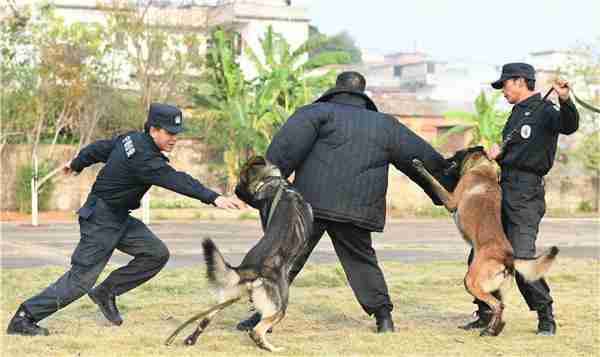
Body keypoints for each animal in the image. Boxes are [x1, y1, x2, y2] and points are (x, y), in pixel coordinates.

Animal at [166, 156, 312, 350]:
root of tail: (248, 270)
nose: (235, 191)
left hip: (228, 295)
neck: (273, 184)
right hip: (281, 304)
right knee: (257, 332)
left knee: (206, 318)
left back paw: (191, 338)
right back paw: (272, 348)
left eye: (240, 184)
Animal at [412, 146, 556, 336]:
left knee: (497, 305)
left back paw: (489, 330)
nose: (444, 159)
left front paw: (419, 167)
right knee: (501, 308)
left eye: (456, 154)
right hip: (499, 287)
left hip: (471, 280)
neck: (484, 170)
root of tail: (507, 257)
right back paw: (492, 329)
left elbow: (432, 181)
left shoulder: (451, 200)